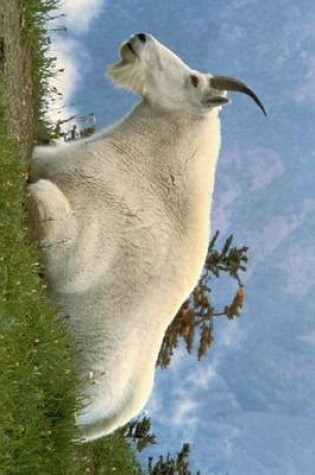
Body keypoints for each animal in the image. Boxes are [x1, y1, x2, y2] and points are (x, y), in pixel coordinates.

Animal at [27, 33, 266, 442]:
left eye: (193, 81)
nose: (140, 38)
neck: (149, 167)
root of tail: (102, 423)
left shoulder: (79, 249)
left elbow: (43, 197)